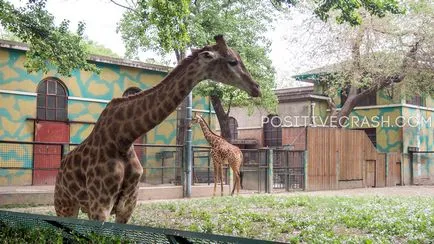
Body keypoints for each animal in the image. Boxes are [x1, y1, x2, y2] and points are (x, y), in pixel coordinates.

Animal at [52, 34, 260, 223]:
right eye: (233, 61)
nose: (256, 87)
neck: (122, 138)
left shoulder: (127, 206)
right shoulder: (100, 205)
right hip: (64, 204)